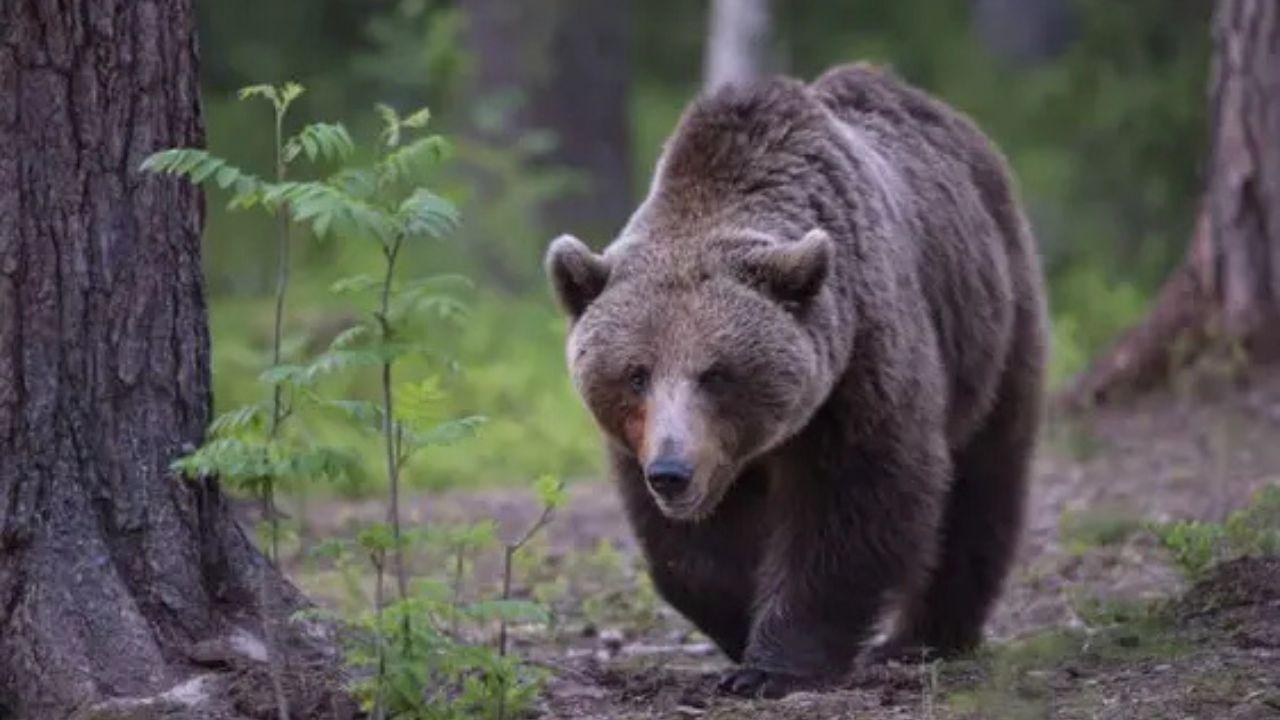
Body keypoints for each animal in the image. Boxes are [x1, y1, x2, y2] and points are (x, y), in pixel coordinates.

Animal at [544, 63, 1047, 698]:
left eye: (716, 373)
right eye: (636, 374)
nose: (672, 473)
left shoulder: (857, 366)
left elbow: (855, 504)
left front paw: (772, 665)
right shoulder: (645, 444)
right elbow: (690, 552)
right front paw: (739, 620)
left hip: (991, 318)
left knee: (983, 478)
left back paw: (924, 638)